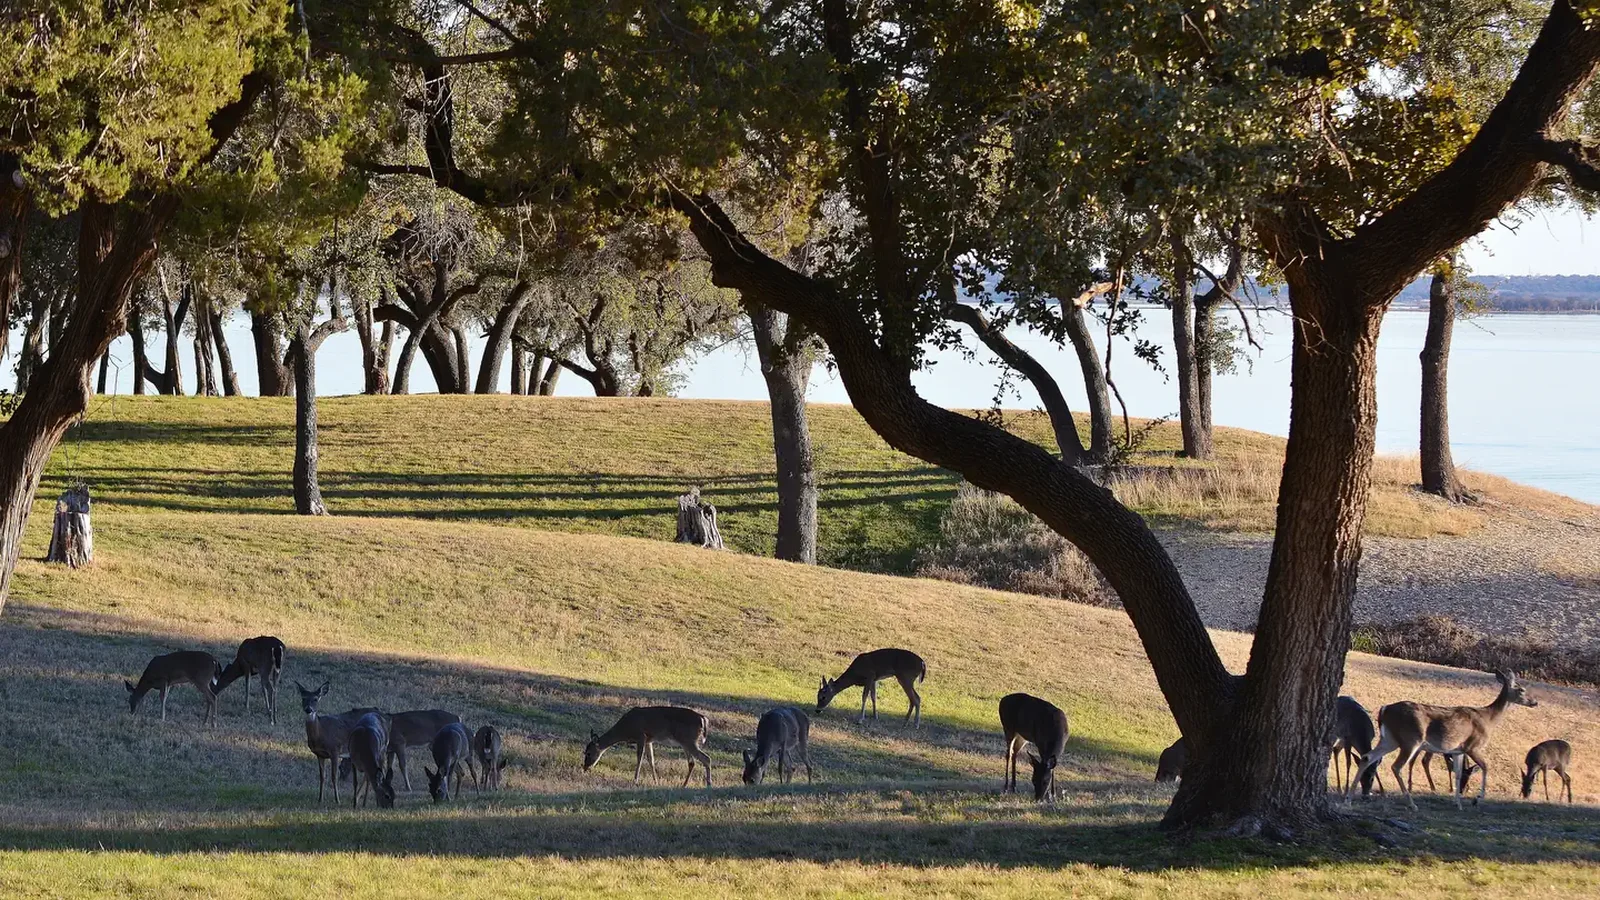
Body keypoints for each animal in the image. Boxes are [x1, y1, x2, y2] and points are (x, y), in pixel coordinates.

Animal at [583, 706, 712, 788]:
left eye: (588, 753)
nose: (585, 768)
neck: (625, 729)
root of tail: (703, 719)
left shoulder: (641, 736)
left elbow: (639, 758)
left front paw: (635, 780)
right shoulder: (649, 740)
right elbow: (651, 760)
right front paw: (656, 782)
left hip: (689, 740)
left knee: (706, 758)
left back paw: (709, 784)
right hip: (686, 742)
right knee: (692, 762)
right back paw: (684, 785)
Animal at [1349, 669, 1538, 810]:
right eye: (1521, 689)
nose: (1534, 702)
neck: (1488, 718)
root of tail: (1384, 709)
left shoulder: (1458, 751)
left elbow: (1458, 773)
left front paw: (1458, 803)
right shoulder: (1473, 746)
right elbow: (1485, 767)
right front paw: (1477, 798)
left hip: (1390, 739)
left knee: (1367, 757)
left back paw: (1349, 797)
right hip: (1411, 739)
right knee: (1396, 766)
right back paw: (1412, 804)